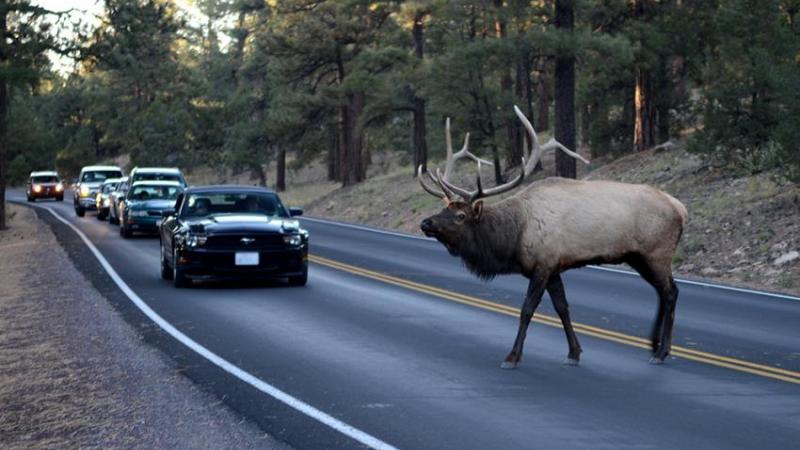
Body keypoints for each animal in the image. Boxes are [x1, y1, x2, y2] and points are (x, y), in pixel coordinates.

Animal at [418, 106, 688, 370]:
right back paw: (654, 345)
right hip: (638, 257)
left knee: (671, 292)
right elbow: (563, 308)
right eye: (444, 208)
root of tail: (681, 209)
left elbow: (527, 309)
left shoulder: (542, 264)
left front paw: (512, 356)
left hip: (657, 252)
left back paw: (661, 352)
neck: (514, 237)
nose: (425, 223)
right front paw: (574, 352)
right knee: (662, 291)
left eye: (461, 215)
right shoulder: (554, 267)